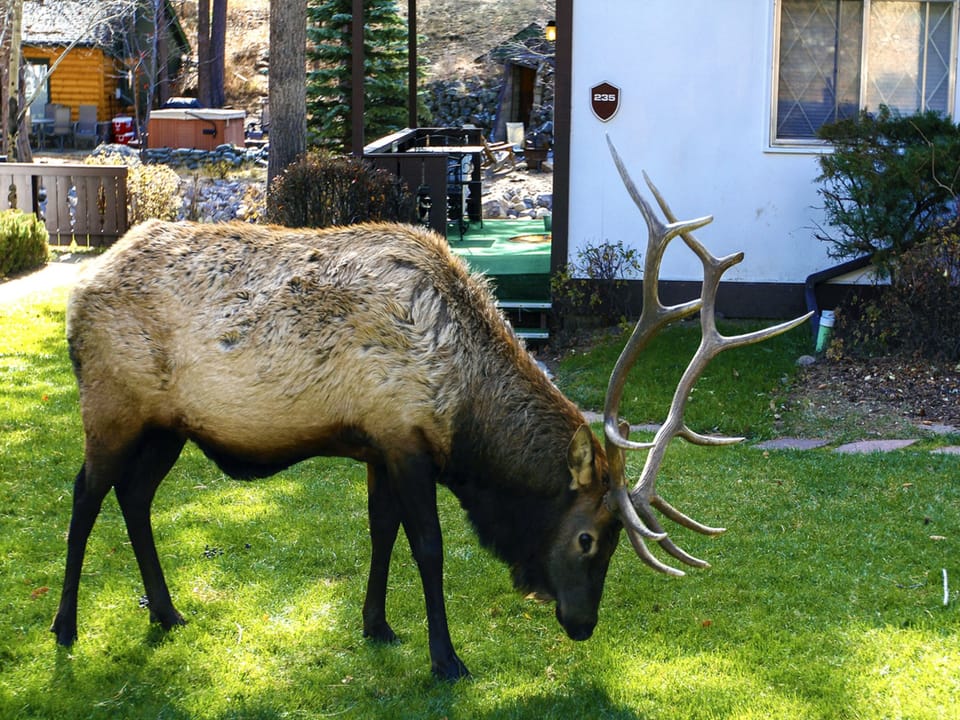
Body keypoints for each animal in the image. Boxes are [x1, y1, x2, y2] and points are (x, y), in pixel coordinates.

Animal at [50, 139, 808, 680]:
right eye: (589, 539)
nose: (582, 624)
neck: (465, 415)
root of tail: (77, 296)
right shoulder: (406, 438)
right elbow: (429, 547)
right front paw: (446, 659)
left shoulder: (377, 444)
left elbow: (379, 532)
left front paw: (378, 625)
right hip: (112, 407)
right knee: (85, 495)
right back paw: (66, 627)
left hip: (165, 426)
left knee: (134, 497)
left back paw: (166, 612)